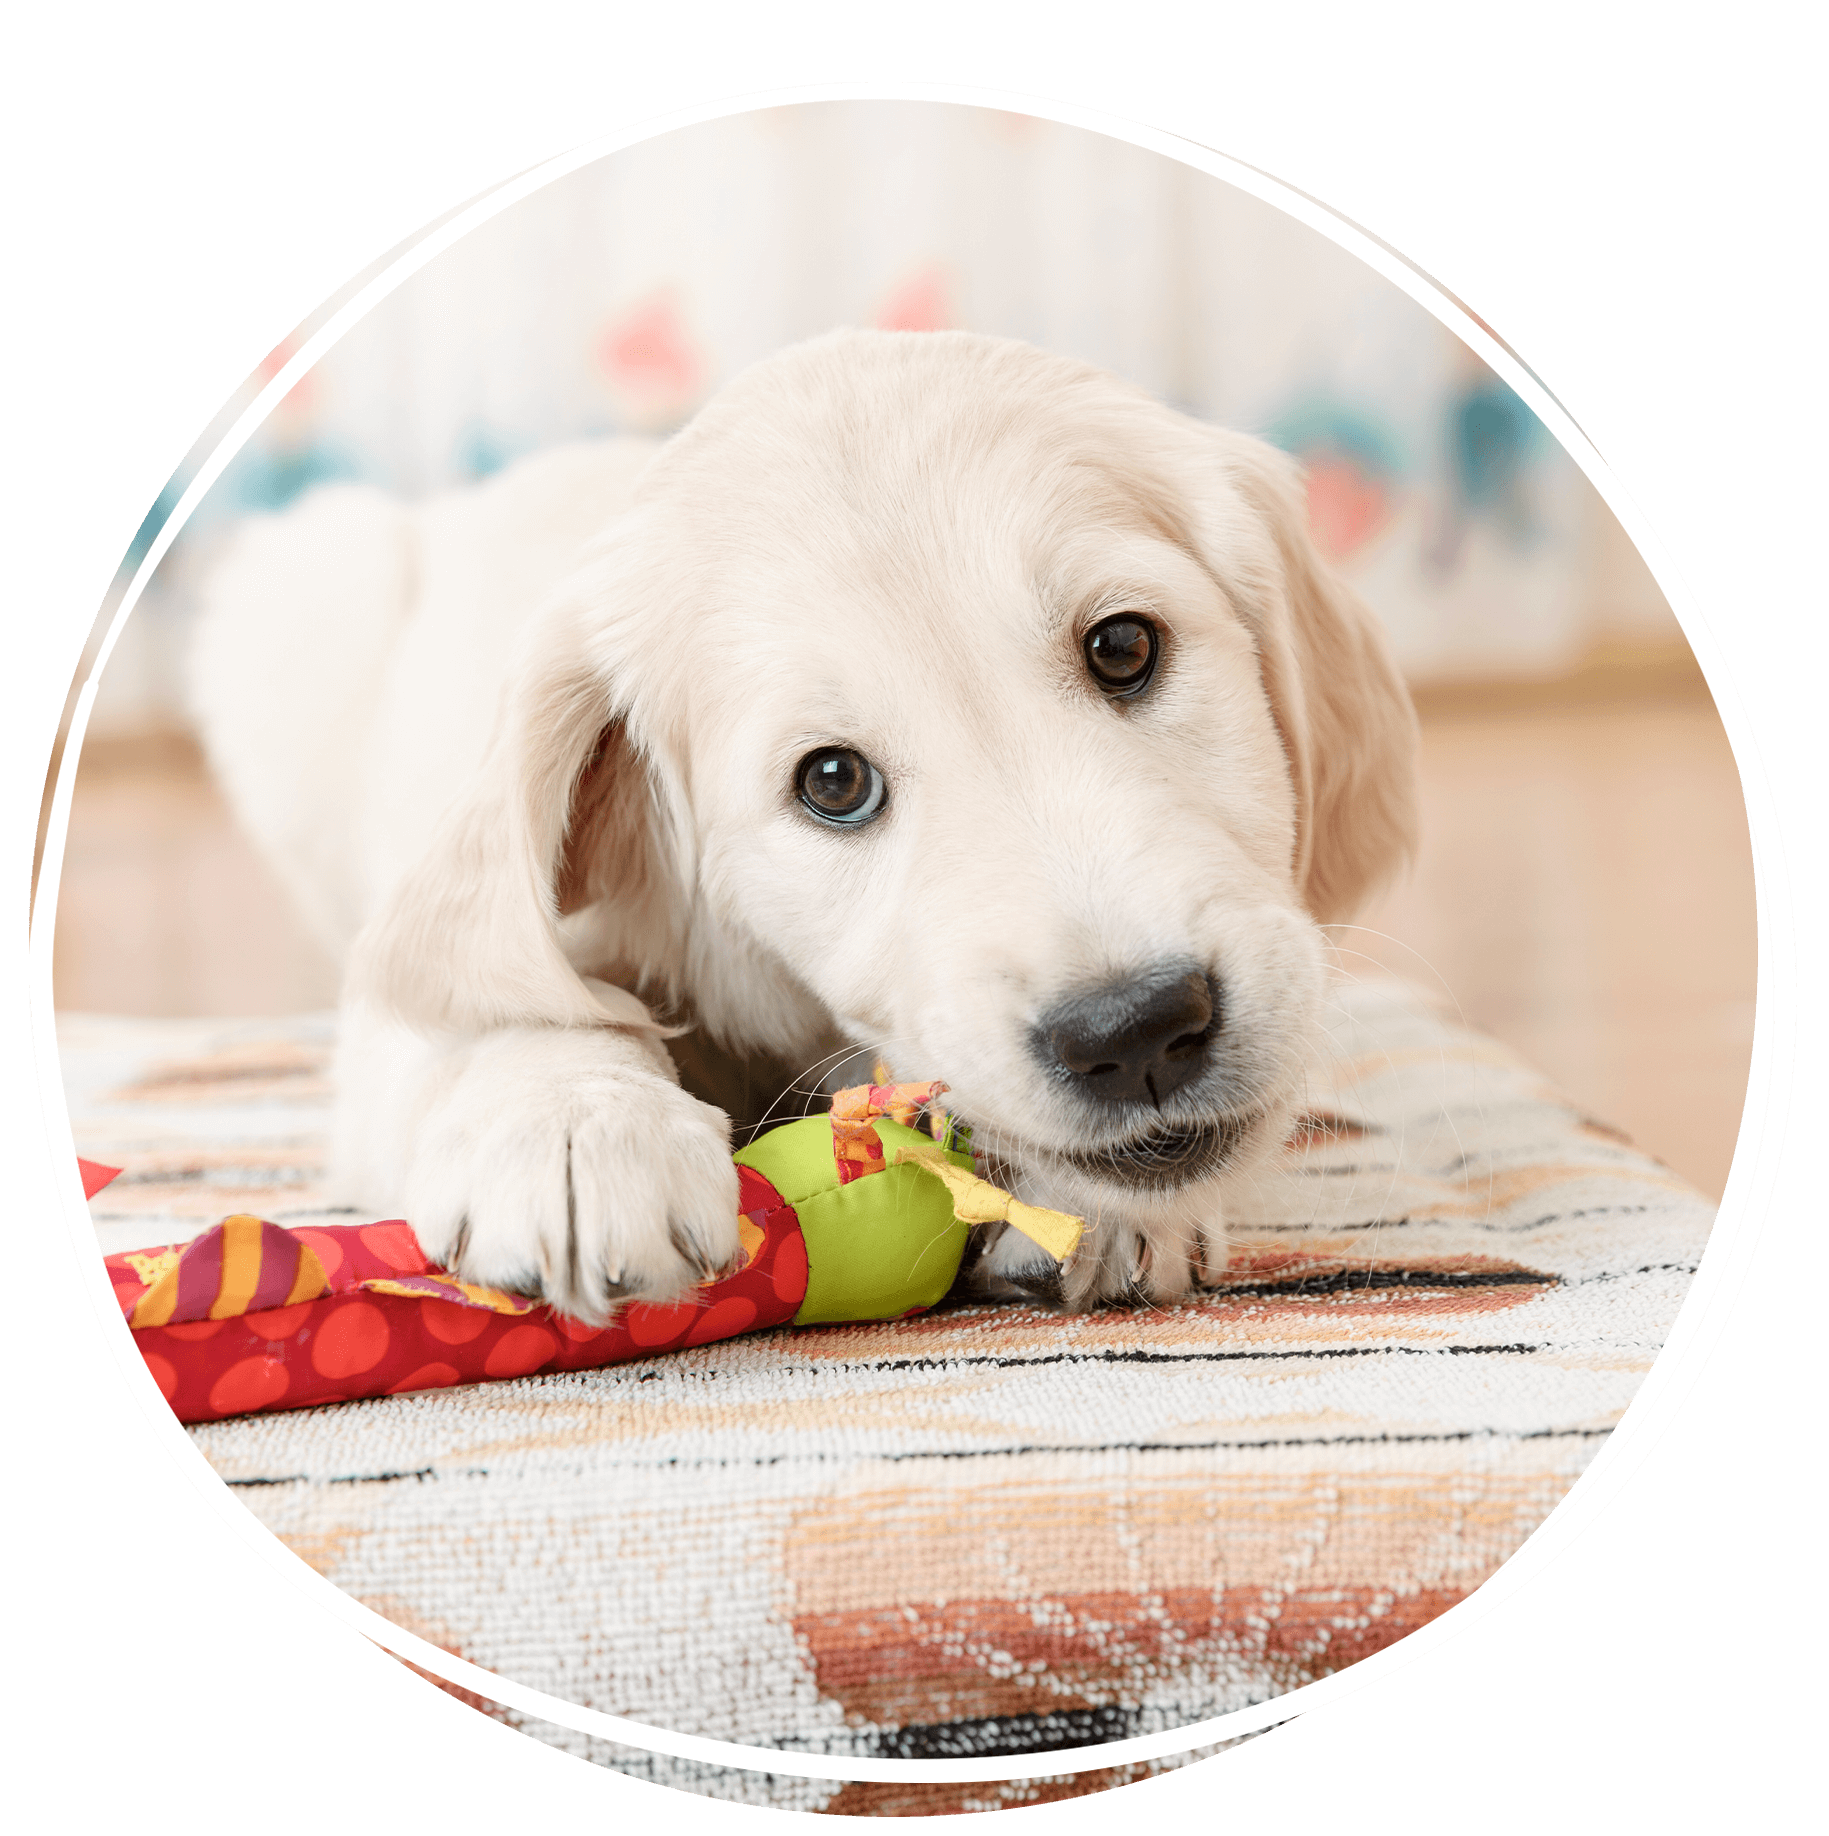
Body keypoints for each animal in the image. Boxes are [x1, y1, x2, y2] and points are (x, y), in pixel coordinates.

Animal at [189, 330, 1417, 1321]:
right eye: (831, 781)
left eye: (1123, 646)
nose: (1135, 1028)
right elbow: (494, 991)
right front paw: (576, 1130)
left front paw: (1083, 1203)